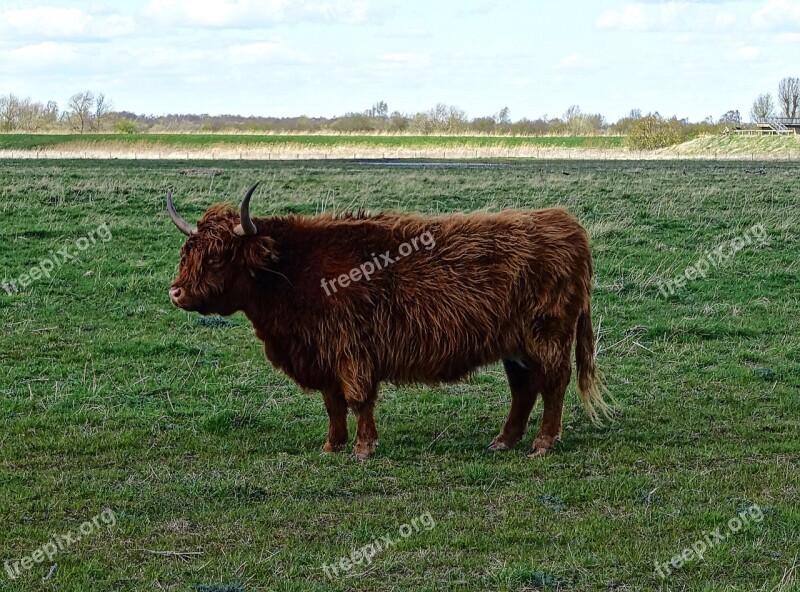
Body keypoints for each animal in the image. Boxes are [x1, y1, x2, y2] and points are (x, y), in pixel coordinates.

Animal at [166, 183, 608, 460]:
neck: (291, 270)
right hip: (515, 344)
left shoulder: (351, 350)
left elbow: (359, 399)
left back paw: (543, 443)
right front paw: (332, 446)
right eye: (188, 251)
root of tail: (567, 224)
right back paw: (503, 440)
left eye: (216, 256)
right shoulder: (322, 354)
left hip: (547, 335)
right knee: (523, 389)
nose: (176, 293)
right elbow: (333, 404)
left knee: (553, 383)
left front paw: (363, 448)